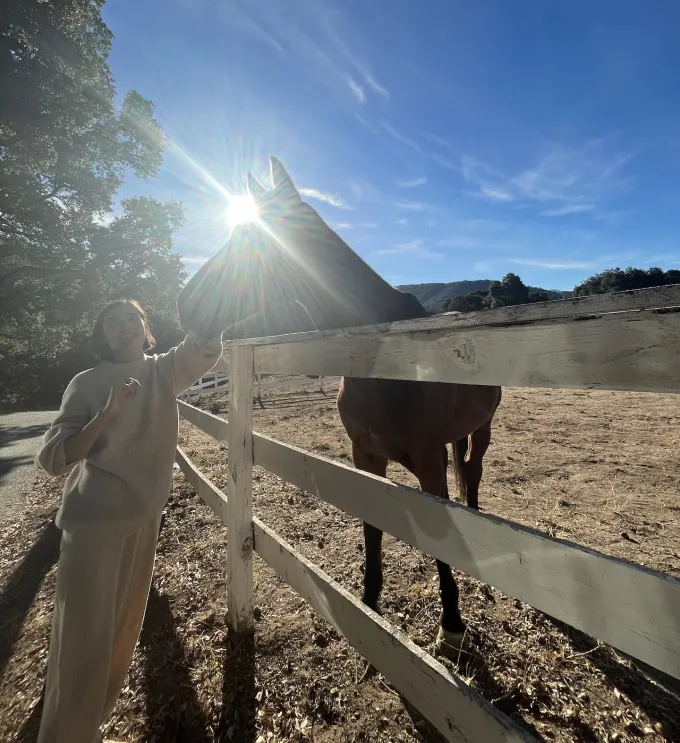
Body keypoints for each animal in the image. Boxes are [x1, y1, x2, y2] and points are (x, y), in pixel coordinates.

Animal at [178, 157, 502, 656]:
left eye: (249, 240)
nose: (183, 306)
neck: (381, 359)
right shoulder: (364, 456)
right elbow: (372, 526)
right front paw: (369, 604)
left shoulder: (428, 462)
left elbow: (440, 540)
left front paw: (451, 625)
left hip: (483, 429)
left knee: (474, 473)